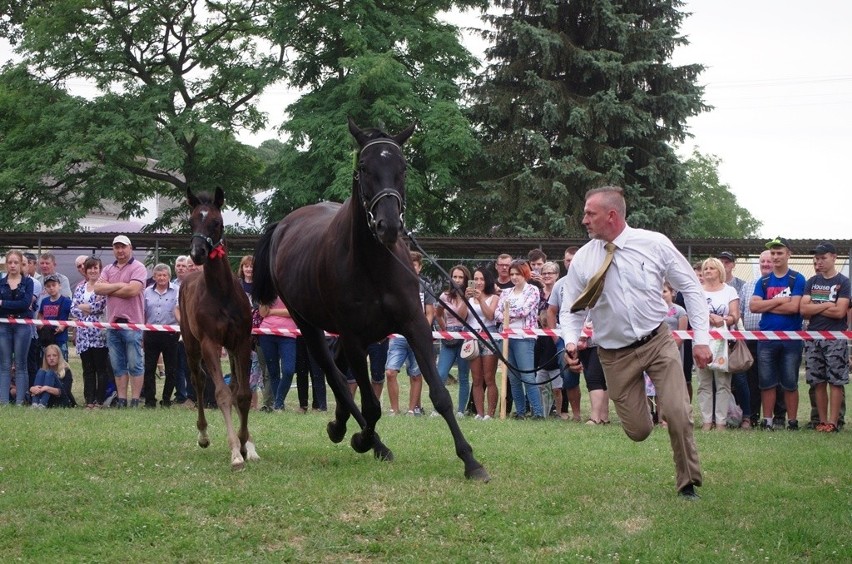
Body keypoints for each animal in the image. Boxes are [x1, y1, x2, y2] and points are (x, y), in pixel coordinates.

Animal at [178, 187, 258, 470]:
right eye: (191, 221)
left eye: (217, 222)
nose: (198, 252)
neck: (222, 293)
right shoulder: (209, 344)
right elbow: (222, 394)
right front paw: (235, 451)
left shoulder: (241, 343)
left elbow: (243, 394)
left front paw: (245, 443)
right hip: (192, 347)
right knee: (199, 381)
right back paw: (203, 434)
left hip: (231, 351)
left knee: (235, 385)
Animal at [253, 119, 490, 480]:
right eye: (364, 167)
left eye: (402, 167)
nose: (388, 224)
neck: (375, 264)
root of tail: (284, 224)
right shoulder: (355, 337)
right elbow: (372, 404)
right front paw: (363, 439)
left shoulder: (415, 326)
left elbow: (440, 396)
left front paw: (470, 461)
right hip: (306, 323)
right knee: (334, 374)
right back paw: (362, 437)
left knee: (338, 371)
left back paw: (343, 425)